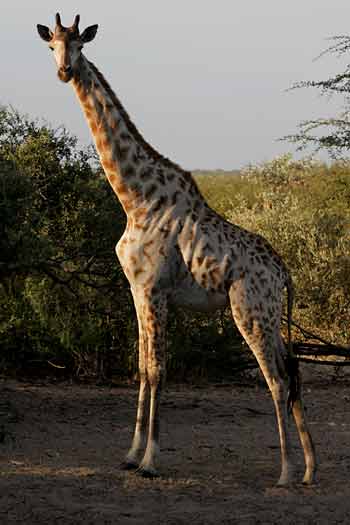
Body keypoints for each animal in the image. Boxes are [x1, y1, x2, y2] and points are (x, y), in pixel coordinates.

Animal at [37, 13, 316, 488]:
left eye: (79, 44)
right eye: (51, 45)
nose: (64, 71)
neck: (135, 198)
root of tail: (284, 272)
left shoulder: (154, 290)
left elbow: (158, 370)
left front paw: (150, 460)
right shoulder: (136, 290)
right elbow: (142, 367)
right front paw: (130, 455)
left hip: (250, 310)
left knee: (277, 380)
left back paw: (284, 472)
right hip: (270, 314)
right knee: (294, 369)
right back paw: (311, 469)